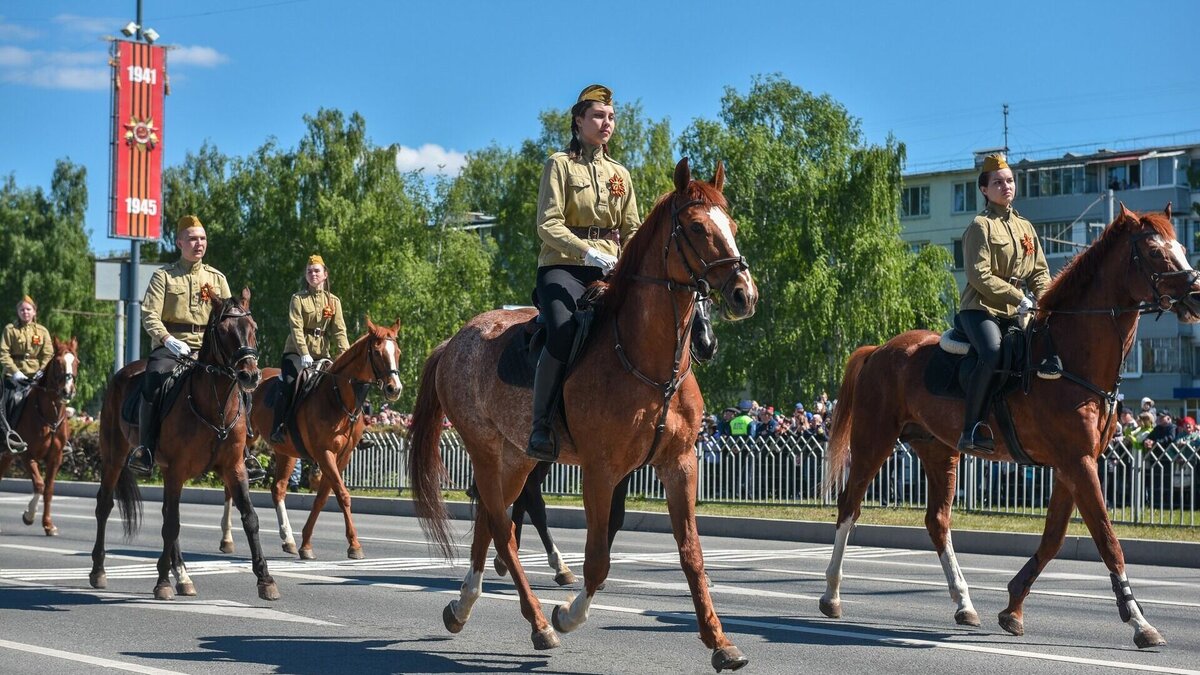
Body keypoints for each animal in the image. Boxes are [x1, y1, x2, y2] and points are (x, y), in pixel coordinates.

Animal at [0, 338, 78, 533]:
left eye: (76, 362)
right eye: (57, 362)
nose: (67, 391)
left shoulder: (56, 457)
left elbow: (48, 488)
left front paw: (48, 524)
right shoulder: (27, 455)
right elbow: (39, 484)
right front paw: (29, 515)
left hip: (7, 455)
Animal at [90, 289, 278, 598]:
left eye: (254, 328)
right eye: (223, 331)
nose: (249, 375)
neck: (215, 406)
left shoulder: (234, 468)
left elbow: (250, 518)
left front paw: (266, 579)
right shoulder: (176, 470)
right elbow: (171, 526)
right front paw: (162, 582)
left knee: (168, 513)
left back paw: (182, 576)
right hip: (114, 456)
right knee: (105, 506)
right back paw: (99, 570)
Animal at [223, 314, 410, 557]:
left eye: (398, 352)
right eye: (378, 352)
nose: (394, 389)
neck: (338, 398)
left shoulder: (343, 456)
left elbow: (323, 497)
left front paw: (306, 543)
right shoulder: (324, 453)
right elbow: (342, 494)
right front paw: (354, 545)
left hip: (286, 453)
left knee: (278, 489)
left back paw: (288, 539)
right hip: (242, 443)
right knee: (230, 488)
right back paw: (227, 538)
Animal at [408, 157, 753, 667]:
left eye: (732, 226)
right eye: (696, 227)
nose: (744, 294)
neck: (648, 362)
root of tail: (454, 339)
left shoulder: (680, 464)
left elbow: (692, 555)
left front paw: (720, 641)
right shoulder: (601, 470)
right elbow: (598, 560)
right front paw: (568, 615)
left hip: (517, 458)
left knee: (492, 520)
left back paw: (463, 605)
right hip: (487, 450)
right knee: (503, 529)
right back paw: (538, 623)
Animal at [820, 204, 1195, 648]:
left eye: (1181, 246)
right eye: (1155, 252)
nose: (1195, 291)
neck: (1065, 357)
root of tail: (879, 349)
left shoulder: (1072, 466)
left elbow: (1053, 539)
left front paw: (1013, 606)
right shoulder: (1078, 463)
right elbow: (1108, 540)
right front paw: (1139, 621)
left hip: (939, 451)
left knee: (937, 522)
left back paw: (964, 603)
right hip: (873, 441)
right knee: (849, 507)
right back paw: (831, 595)